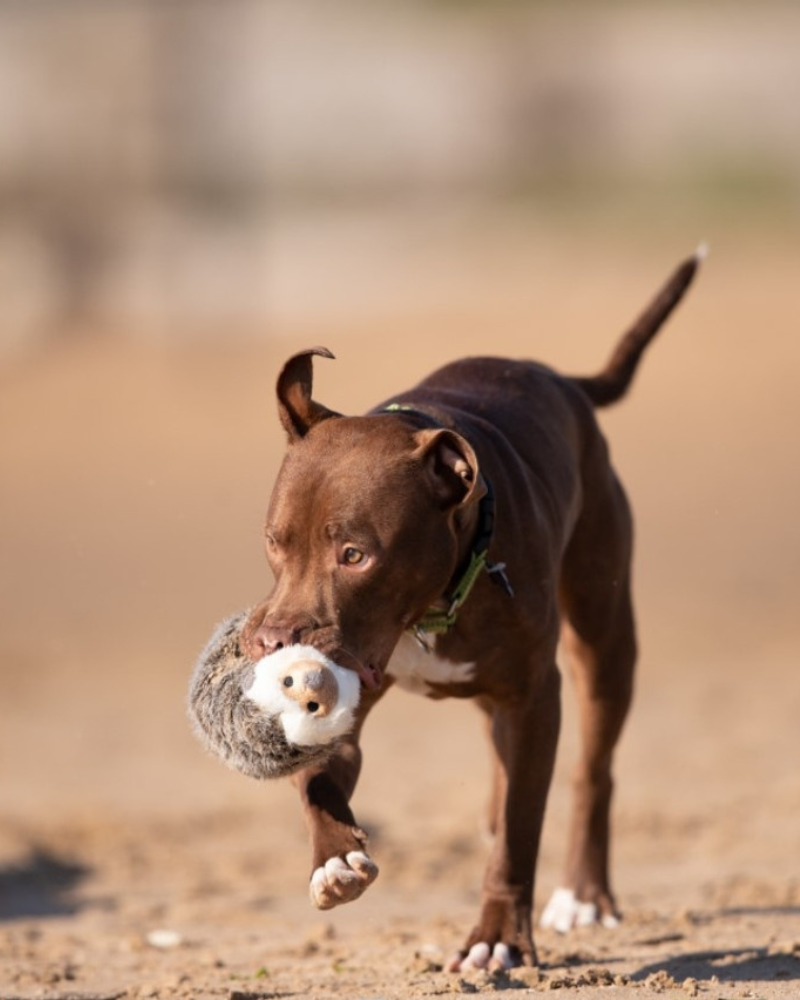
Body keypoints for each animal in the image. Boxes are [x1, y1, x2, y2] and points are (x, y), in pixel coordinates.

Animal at [238, 250, 700, 968]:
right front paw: (335, 859)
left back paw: (584, 896)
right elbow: (318, 779)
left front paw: (498, 939)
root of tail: (561, 380)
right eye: (274, 541)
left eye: (355, 555)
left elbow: (521, 829)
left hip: (603, 639)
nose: (275, 640)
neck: (426, 610)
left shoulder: (536, 698)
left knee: (593, 771)